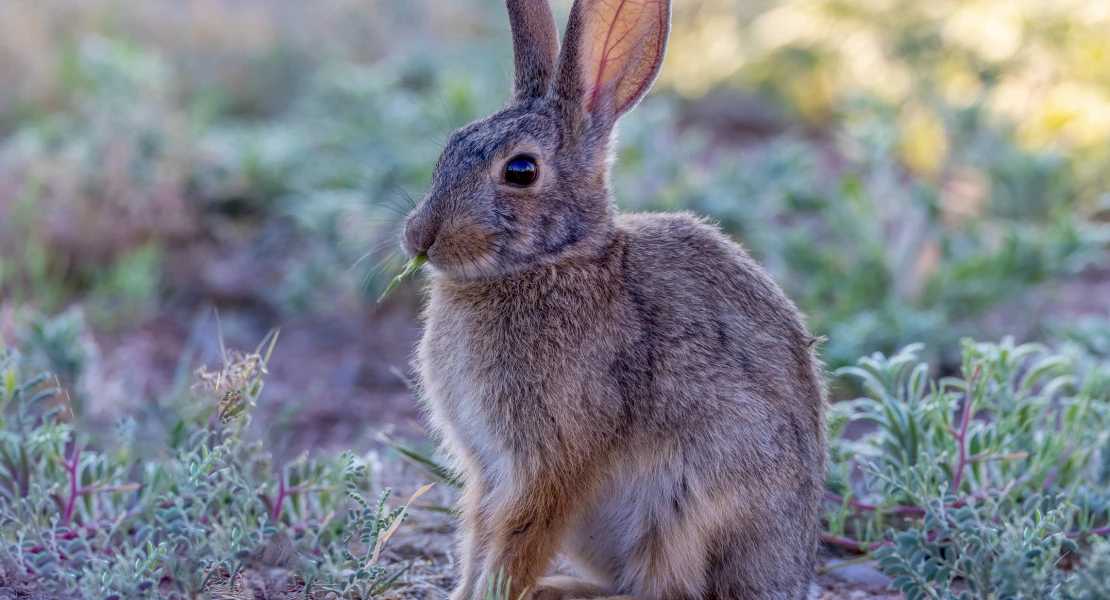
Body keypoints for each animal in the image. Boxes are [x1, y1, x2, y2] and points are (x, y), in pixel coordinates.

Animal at [400, 1, 828, 599]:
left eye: (520, 170)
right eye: (451, 146)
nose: (419, 237)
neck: (554, 261)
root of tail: (786, 577)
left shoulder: (550, 461)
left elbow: (518, 540)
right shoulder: (488, 470)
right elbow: (480, 536)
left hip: (688, 508)